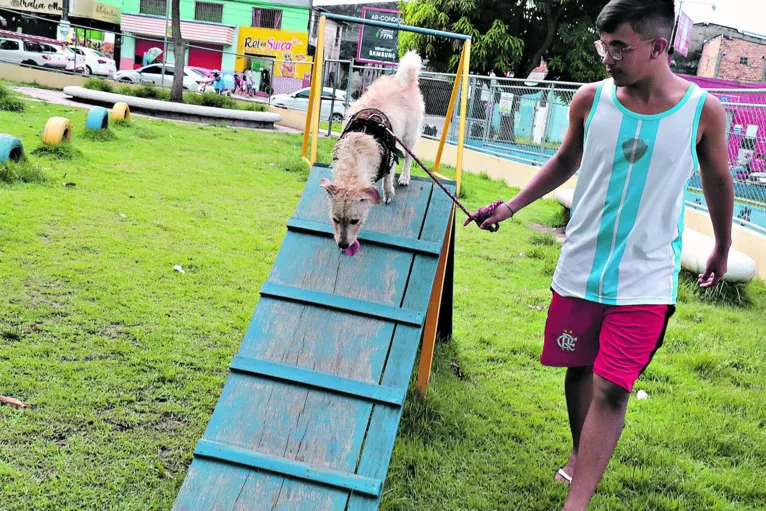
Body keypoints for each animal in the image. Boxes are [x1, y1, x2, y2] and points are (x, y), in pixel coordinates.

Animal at [320, 51, 426, 251]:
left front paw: (388, 193)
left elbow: (387, 180)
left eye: (355, 221)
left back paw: (404, 177)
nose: (343, 245)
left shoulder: (391, 158)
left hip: (408, 136)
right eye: (335, 219)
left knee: (409, 157)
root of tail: (403, 80)